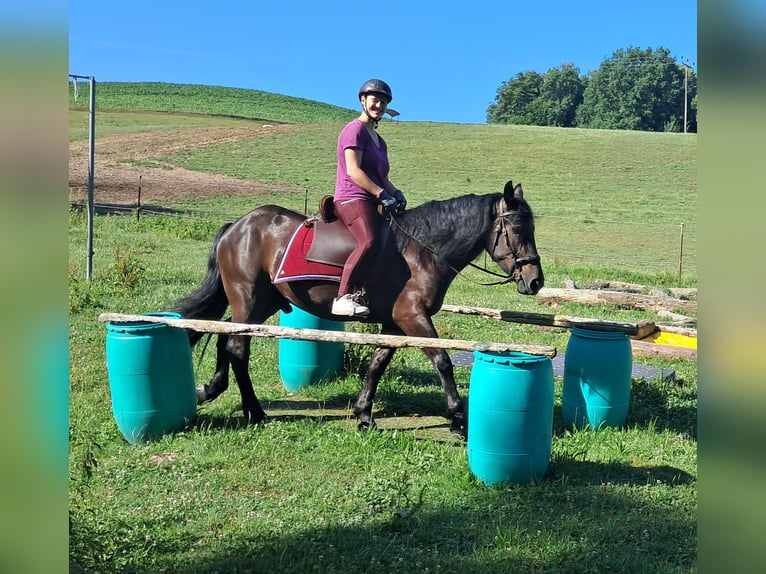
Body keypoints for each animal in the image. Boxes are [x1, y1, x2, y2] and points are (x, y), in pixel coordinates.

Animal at [173, 180, 544, 437]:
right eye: (518, 228)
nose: (535, 281)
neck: (422, 251)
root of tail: (238, 226)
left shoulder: (396, 323)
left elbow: (378, 363)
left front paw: (364, 414)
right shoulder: (413, 318)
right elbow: (443, 361)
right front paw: (457, 419)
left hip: (261, 303)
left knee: (226, 339)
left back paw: (212, 390)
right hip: (247, 298)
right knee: (237, 347)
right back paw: (254, 411)